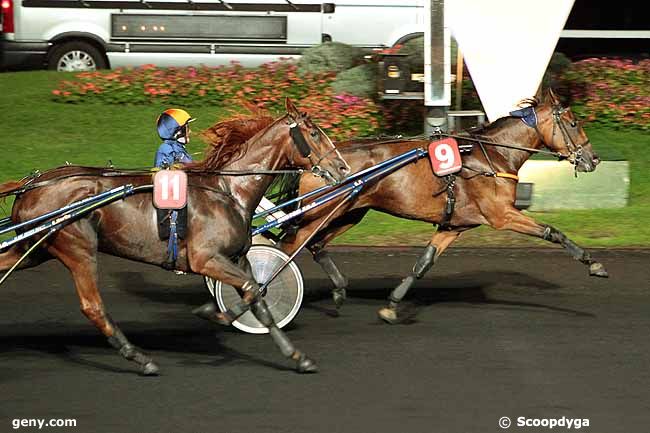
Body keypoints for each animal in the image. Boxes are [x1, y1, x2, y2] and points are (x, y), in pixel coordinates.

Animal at [0, 98, 350, 374]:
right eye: (315, 133)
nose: (343, 168)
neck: (228, 190)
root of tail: (30, 186)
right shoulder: (206, 258)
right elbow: (252, 290)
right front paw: (214, 313)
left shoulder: (237, 258)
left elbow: (258, 297)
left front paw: (297, 356)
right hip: (77, 247)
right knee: (93, 307)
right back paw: (140, 358)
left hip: (34, 248)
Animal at [274, 89, 608, 322]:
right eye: (574, 123)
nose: (593, 159)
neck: (491, 156)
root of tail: (314, 162)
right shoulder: (502, 215)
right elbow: (553, 231)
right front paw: (594, 263)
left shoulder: (455, 225)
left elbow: (424, 263)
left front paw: (393, 304)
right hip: (320, 213)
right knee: (289, 247)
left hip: (349, 213)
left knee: (314, 245)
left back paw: (339, 289)